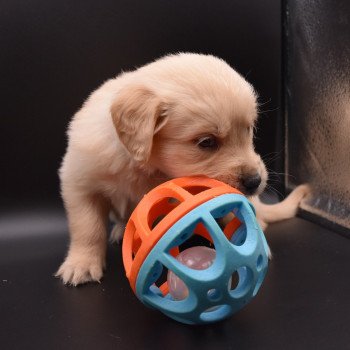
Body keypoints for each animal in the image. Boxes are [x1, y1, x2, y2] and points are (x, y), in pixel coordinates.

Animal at [56, 53, 308, 286]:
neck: (145, 165)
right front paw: (81, 264)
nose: (255, 182)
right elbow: (87, 228)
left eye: (249, 130)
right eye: (206, 142)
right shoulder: (80, 184)